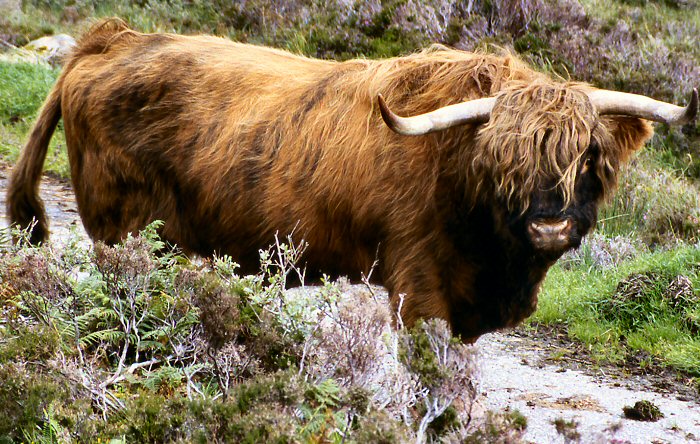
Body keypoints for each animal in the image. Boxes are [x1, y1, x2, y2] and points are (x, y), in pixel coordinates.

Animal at [8, 19, 696, 342]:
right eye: (503, 160)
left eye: (589, 156)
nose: (550, 226)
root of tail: (108, 39)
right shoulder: (418, 287)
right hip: (119, 232)